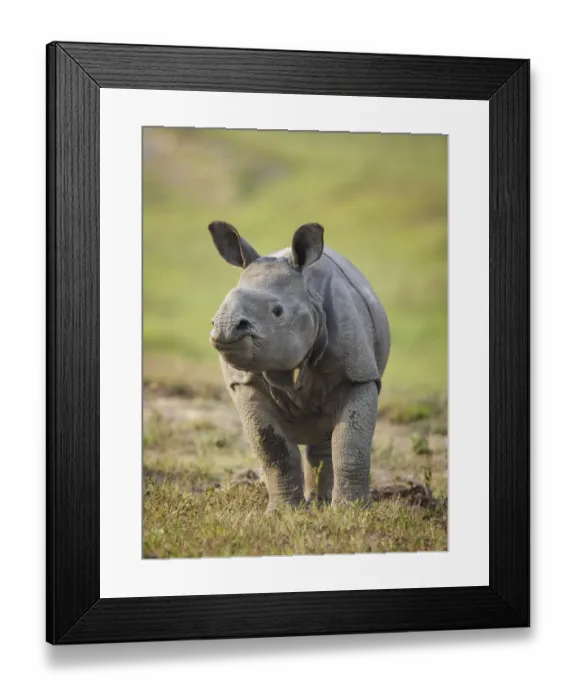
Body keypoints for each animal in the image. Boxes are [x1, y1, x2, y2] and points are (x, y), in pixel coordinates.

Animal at [208, 221, 391, 512]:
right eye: (222, 306)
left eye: (278, 311)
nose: (225, 327)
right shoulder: (245, 382)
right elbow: (273, 448)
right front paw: (283, 513)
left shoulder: (358, 375)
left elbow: (351, 443)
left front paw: (350, 511)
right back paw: (317, 503)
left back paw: (324, 504)